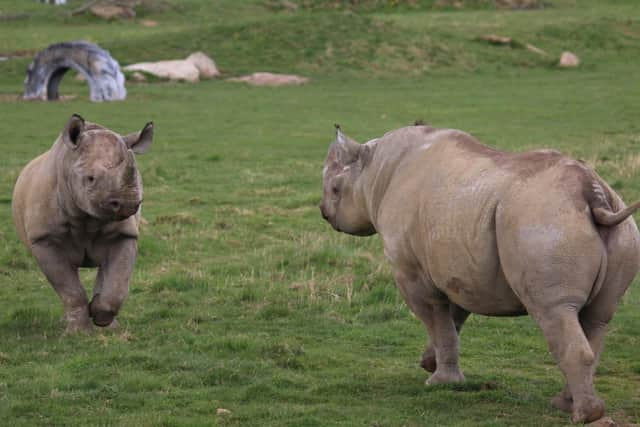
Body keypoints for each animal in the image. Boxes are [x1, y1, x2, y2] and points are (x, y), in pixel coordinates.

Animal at [12, 114, 154, 334]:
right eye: (90, 178)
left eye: (138, 178)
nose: (128, 203)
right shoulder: (44, 239)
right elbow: (69, 289)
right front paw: (78, 332)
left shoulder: (125, 234)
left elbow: (118, 282)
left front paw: (100, 314)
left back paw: (108, 324)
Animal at [320, 123, 640, 424]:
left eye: (335, 189)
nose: (323, 211)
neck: (373, 170)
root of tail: (591, 191)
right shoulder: (461, 271)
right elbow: (452, 321)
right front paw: (430, 363)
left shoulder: (411, 273)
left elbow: (437, 320)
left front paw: (440, 382)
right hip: (617, 229)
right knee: (597, 318)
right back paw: (566, 405)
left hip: (544, 223)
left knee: (555, 311)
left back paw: (583, 415)